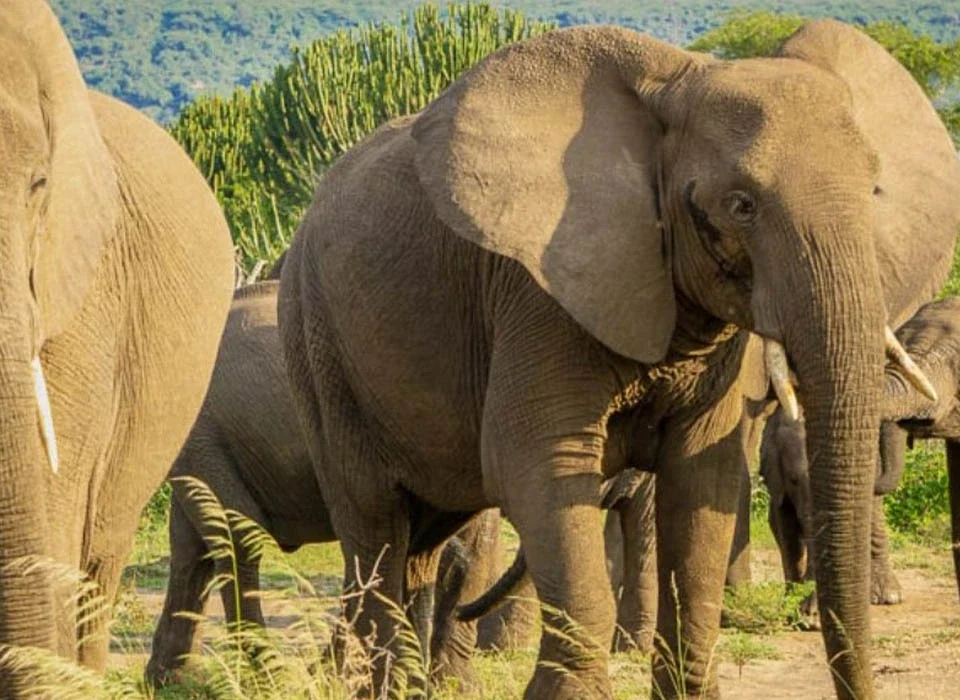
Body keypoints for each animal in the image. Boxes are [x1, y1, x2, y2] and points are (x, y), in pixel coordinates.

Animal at [277, 20, 960, 699]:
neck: (677, 86)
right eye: (741, 205)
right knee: (375, 528)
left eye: (873, 191)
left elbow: (703, 484)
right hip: (315, 343)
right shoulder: (537, 294)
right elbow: (541, 466)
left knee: (420, 542)